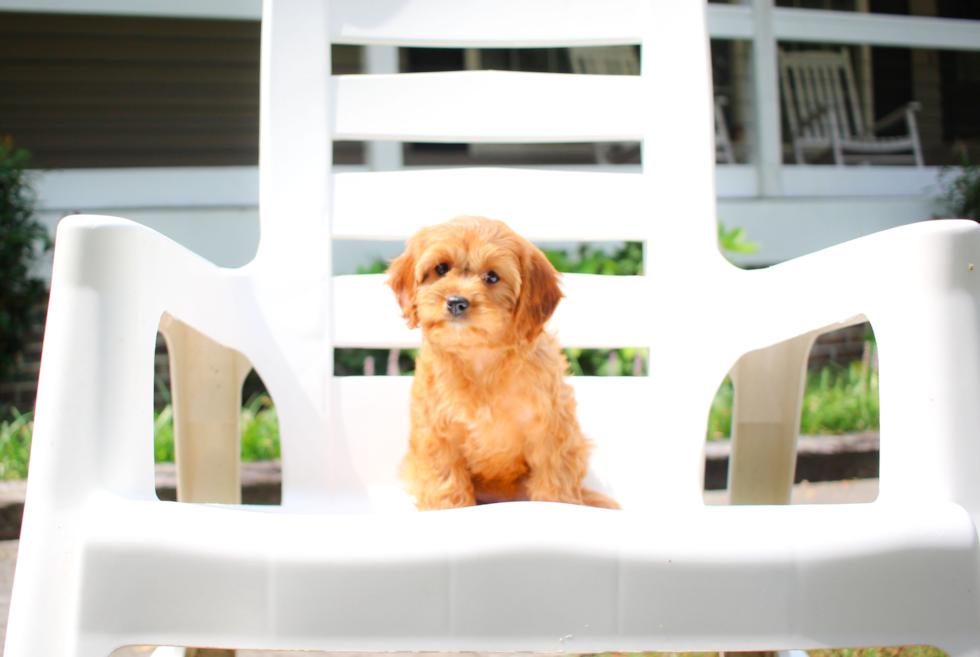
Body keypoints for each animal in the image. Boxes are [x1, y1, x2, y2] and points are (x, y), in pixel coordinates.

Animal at [384, 218, 620, 510]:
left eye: (492, 277)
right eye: (440, 268)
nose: (456, 302)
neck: (480, 357)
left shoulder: (551, 432)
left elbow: (555, 484)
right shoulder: (438, 435)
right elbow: (446, 485)